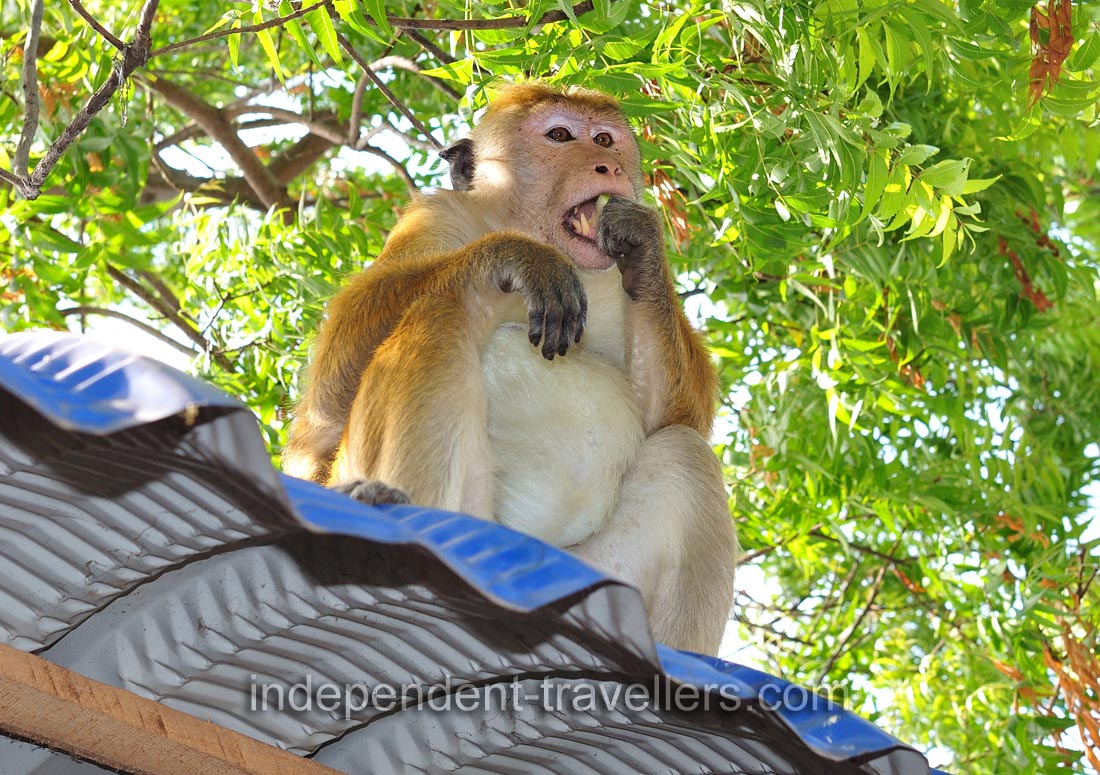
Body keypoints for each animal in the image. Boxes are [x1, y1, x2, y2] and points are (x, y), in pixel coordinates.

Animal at [284, 82, 737, 654]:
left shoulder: (609, 280)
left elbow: (673, 414)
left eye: (605, 139)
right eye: (560, 135)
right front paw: (513, 257)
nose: (608, 166)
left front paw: (645, 244)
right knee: (442, 311)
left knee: (685, 453)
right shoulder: (438, 215)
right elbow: (324, 404)